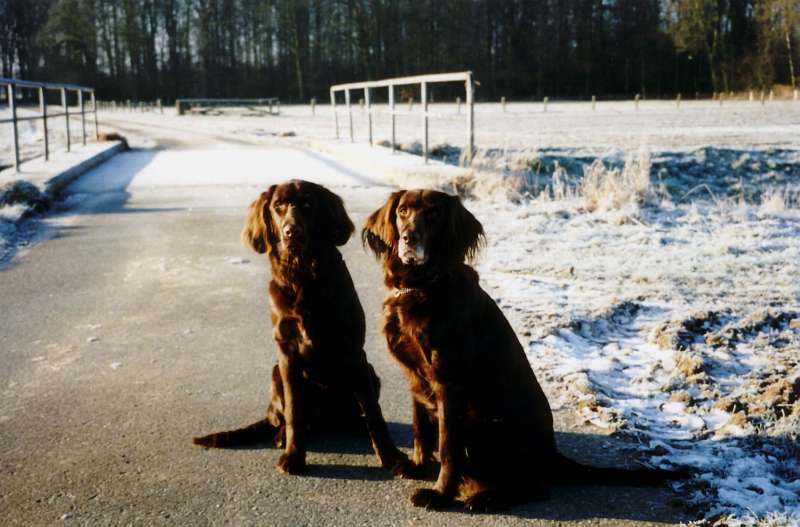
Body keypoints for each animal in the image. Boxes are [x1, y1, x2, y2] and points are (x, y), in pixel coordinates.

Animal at [194, 180, 408, 476]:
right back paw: (282, 436)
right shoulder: (287, 352)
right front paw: (294, 456)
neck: (303, 274)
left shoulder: (354, 350)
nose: (291, 232)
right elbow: (294, 411)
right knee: (285, 419)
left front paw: (392, 457)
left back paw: (355, 425)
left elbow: (374, 412)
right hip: (276, 374)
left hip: (370, 372)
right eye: (277, 206)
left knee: (355, 412)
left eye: (308, 204)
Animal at [362, 189, 684, 511]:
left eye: (433, 214)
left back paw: (488, 497)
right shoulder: (416, 377)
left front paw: (440, 494)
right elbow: (420, 428)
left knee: (536, 488)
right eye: (402, 211)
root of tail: (553, 455)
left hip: (486, 426)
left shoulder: (448, 382)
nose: (409, 238)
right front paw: (417, 466)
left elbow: (447, 447)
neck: (423, 286)